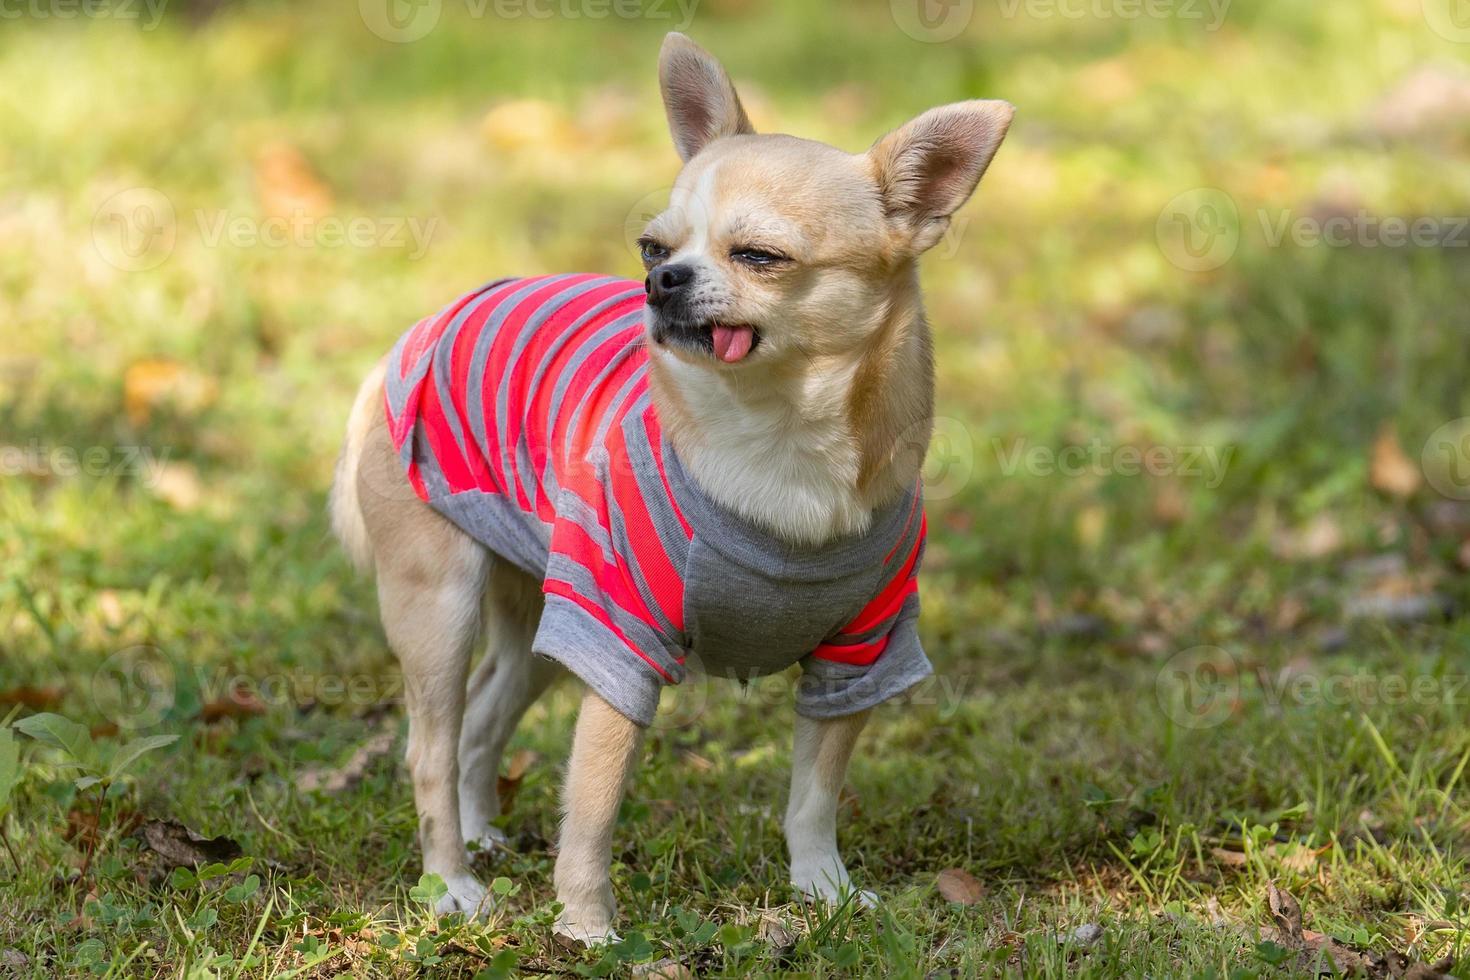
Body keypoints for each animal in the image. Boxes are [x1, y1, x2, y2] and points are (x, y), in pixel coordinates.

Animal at [327, 34, 1005, 946]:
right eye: (652, 249)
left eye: (759, 257)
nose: (662, 281)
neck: (774, 438)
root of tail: (422, 328)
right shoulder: (618, 642)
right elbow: (593, 805)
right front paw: (586, 925)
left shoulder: (859, 655)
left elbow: (813, 796)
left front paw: (822, 889)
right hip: (442, 606)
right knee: (431, 747)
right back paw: (452, 883)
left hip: (540, 615)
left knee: (482, 716)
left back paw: (481, 835)